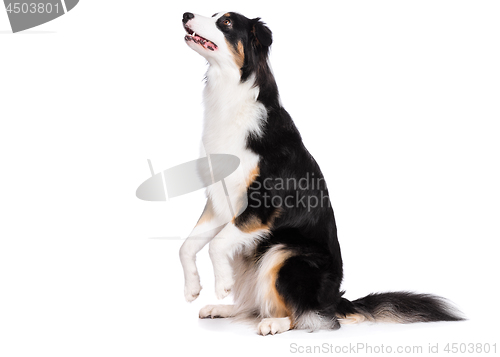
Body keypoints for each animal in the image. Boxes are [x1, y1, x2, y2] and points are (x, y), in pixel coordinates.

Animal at [178, 11, 462, 334]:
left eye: (225, 22)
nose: (186, 14)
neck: (229, 93)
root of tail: (336, 299)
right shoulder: (219, 201)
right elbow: (186, 246)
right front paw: (192, 288)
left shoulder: (263, 204)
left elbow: (216, 244)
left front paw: (222, 284)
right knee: (256, 304)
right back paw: (223, 309)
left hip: (284, 253)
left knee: (310, 315)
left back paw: (275, 323)